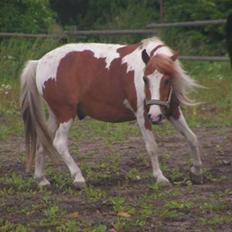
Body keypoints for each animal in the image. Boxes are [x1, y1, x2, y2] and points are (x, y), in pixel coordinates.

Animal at [20, 36, 203, 188]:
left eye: (167, 80)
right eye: (145, 79)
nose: (156, 116)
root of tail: (39, 62)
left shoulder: (172, 111)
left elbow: (192, 138)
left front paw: (196, 172)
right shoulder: (142, 115)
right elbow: (152, 146)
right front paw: (160, 177)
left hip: (55, 115)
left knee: (43, 142)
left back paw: (41, 180)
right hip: (66, 113)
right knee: (59, 142)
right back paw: (78, 178)